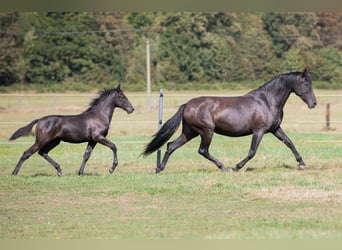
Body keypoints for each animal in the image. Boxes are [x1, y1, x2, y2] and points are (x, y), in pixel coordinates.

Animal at [143, 69, 316, 174]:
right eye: (305, 84)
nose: (314, 103)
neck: (267, 101)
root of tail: (187, 104)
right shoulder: (258, 131)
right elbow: (252, 152)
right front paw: (236, 167)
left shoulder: (275, 129)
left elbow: (289, 143)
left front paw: (302, 163)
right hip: (206, 131)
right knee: (202, 150)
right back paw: (223, 167)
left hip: (190, 132)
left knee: (171, 145)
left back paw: (159, 169)